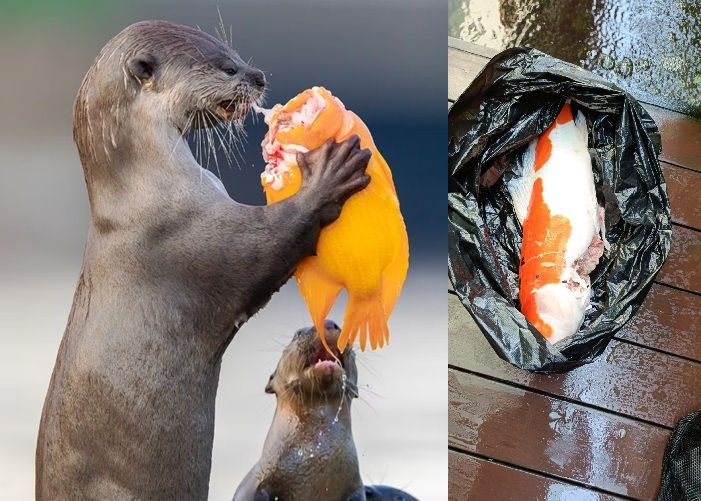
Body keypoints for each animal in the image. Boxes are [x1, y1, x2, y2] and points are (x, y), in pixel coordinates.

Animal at [35, 20, 370, 501]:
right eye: (227, 67)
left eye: (235, 54)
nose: (260, 76)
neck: (146, 190)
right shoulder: (192, 238)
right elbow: (273, 243)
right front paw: (329, 173)